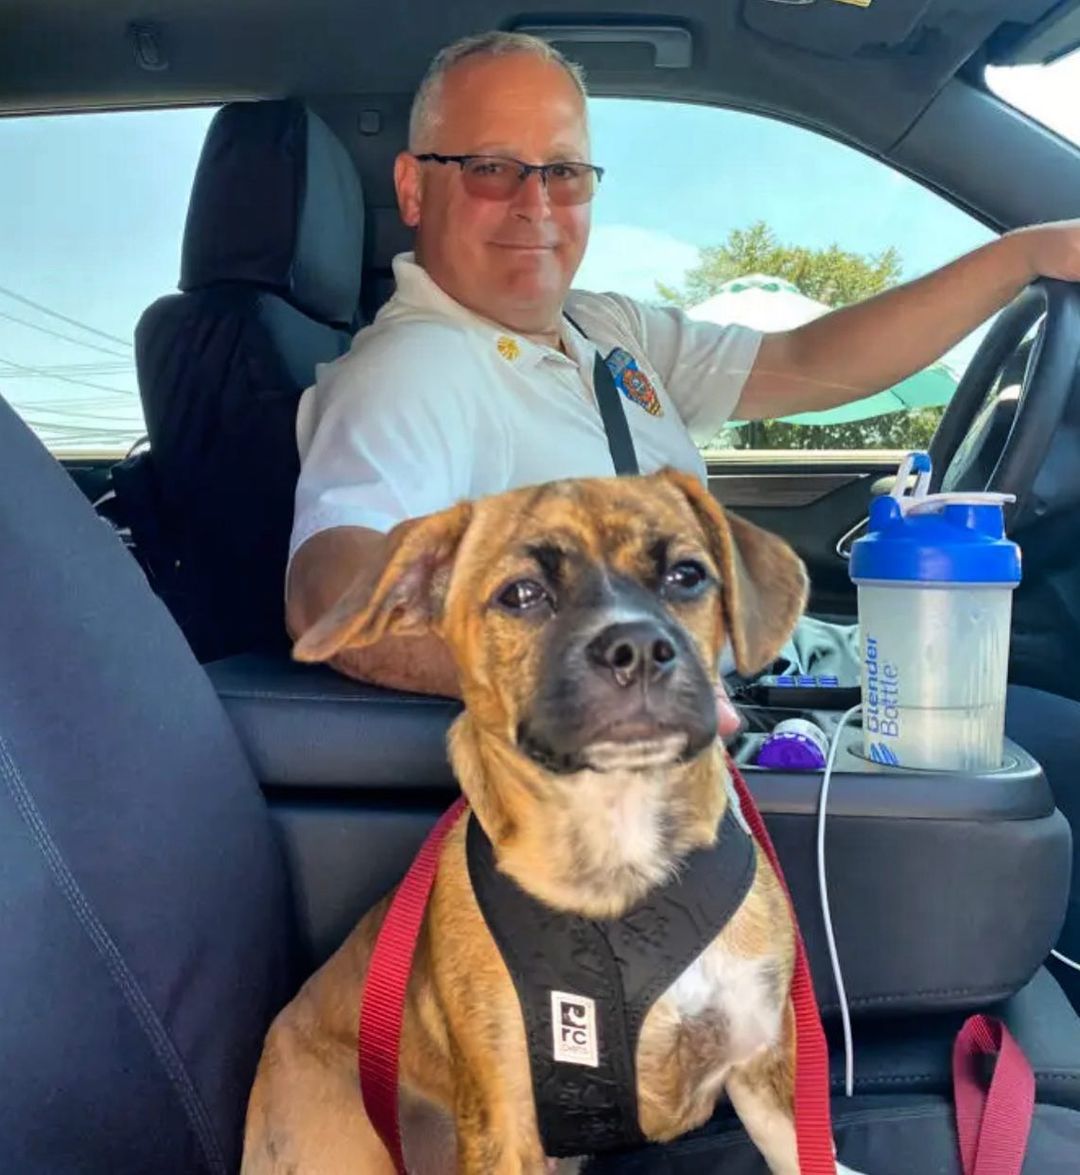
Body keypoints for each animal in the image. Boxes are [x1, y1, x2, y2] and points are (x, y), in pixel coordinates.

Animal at [240, 469, 855, 1175]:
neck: (617, 854)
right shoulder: (506, 1119)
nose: (638, 648)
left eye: (687, 575)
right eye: (522, 594)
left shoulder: (764, 1064)